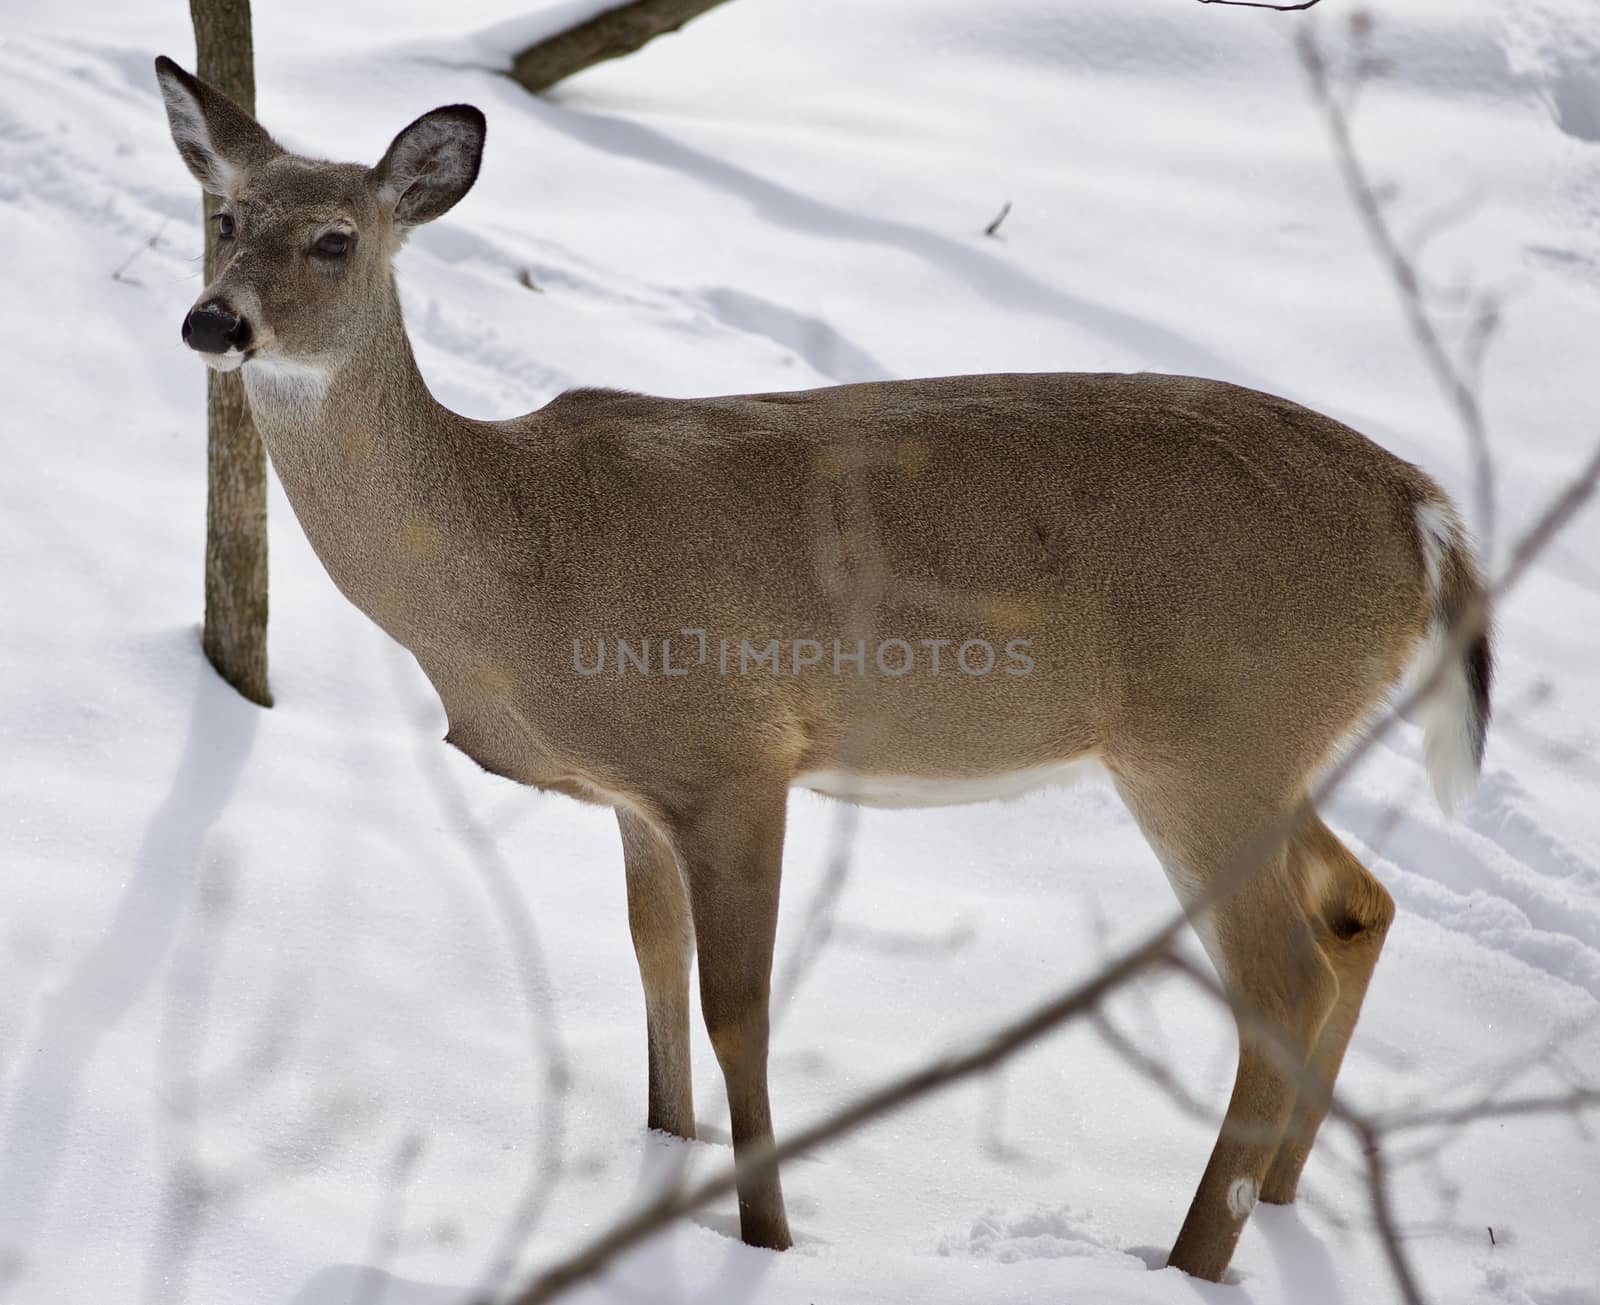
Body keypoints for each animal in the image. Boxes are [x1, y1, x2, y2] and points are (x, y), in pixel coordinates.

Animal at [156, 55, 1491, 1279]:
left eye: (336, 239)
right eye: (223, 218)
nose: (213, 322)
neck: (521, 558)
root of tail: (1426, 516)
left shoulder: (736, 756)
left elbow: (737, 1011)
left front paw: (768, 1239)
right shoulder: (639, 792)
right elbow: (655, 967)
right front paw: (667, 1166)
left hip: (1212, 741)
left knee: (1283, 981)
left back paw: (1191, 1260)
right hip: (1260, 748)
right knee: (1359, 907)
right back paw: (1282, 1202)